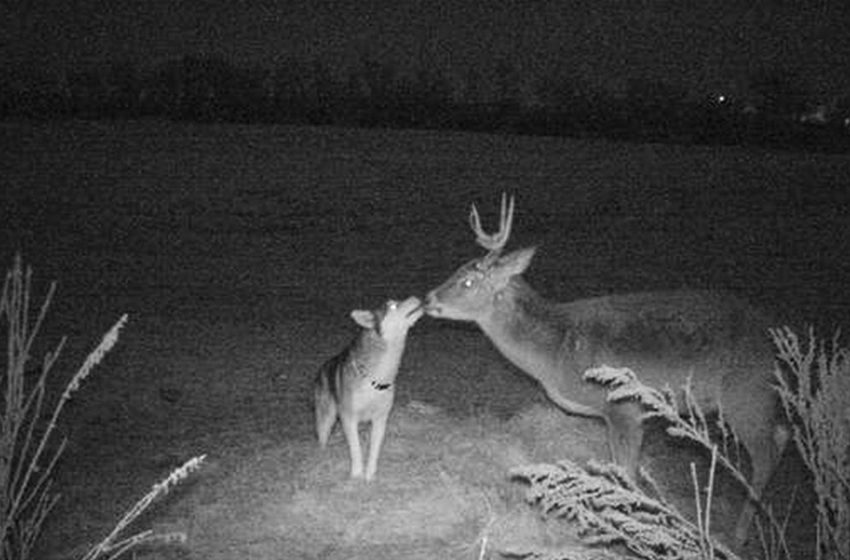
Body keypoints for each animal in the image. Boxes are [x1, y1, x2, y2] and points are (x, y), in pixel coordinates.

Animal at [314, 298, 422, 482]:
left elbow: (374, 450)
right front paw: (357, 475)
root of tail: (324, 366)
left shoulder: (380, 418)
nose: (416, 298)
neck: (376, 379)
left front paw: (370, 476)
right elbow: (356, 449)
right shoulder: (348, 418)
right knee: (322, 440)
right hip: (326, 419)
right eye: (392, 306)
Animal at [424, 194, 788, 548]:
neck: (556, 350)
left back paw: (738, 535)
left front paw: (630, 533)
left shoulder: (624, 407)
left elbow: (627, 475)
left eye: (467, 281)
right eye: (457, 270)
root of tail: (772, 338)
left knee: (765, 456)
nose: (428, 299)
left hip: (746, 394)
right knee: (782, 434)